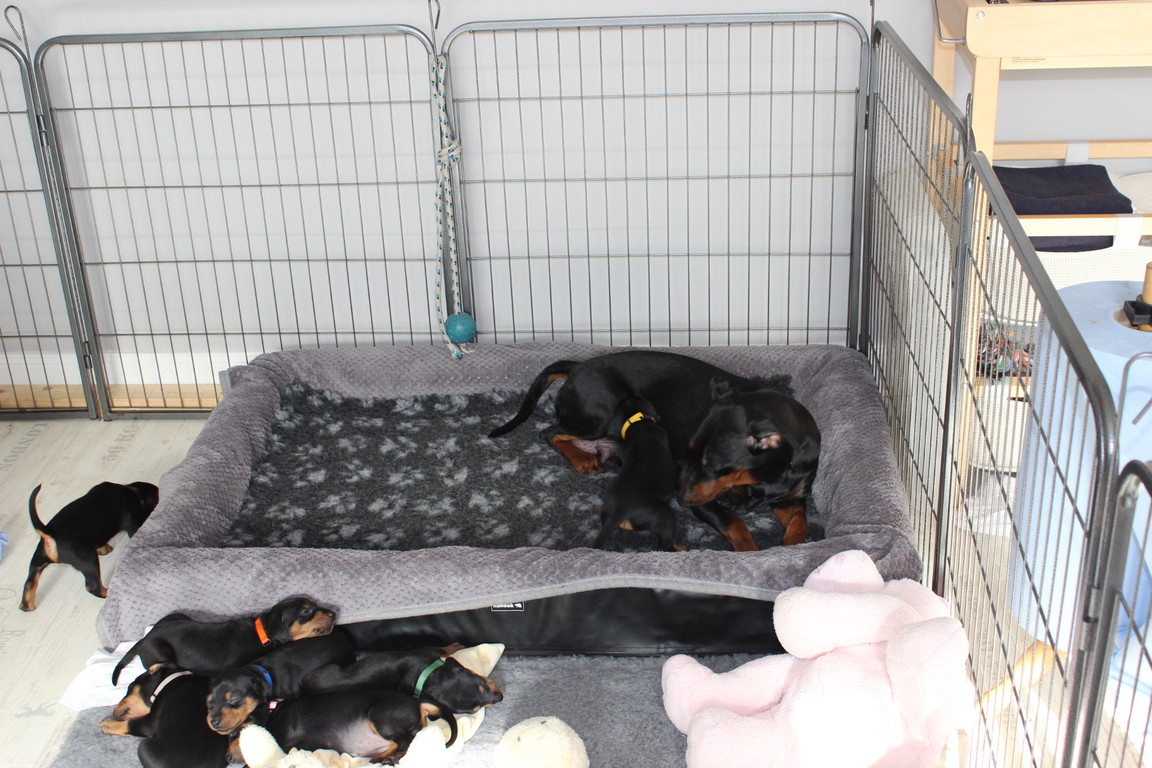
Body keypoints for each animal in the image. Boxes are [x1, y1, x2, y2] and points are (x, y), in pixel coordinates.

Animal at [19, 481, 159, 612]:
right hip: (88, 561)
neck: (130, 490)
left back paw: (26, 606)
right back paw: (107, 593)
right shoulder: (133, 523)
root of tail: (50, 533)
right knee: (93, 587)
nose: (157, 489)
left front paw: (103, 548)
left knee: (29, 583)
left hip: (37, 560)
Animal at [101, 665, 230, 768]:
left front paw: (107, 724)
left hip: (144, 747)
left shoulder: (149, 721)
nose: (113, 711)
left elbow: (130, 724)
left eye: (129, 688)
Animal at [112, 596, 337, 684]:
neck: (262, 633)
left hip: (174, 615)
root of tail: (144, 639)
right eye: (306, 611)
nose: (334, 613)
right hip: (160, 650)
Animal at [301, 643, 503, 715]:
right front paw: (456, 645)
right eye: (474, 710)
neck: (426, 678)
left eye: (482, 686)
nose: (501, 698)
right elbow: (444, 648)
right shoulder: (427, 651)